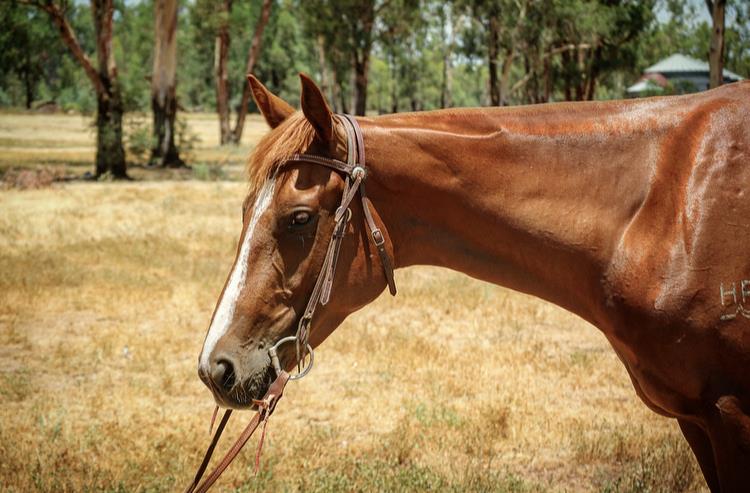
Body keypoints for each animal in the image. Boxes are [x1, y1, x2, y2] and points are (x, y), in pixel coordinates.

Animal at [196, 73, 750, 492]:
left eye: (300, 218)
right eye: (245, 210)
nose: (214, 367)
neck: (666, 207)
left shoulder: (731, 416)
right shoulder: (697, 422)